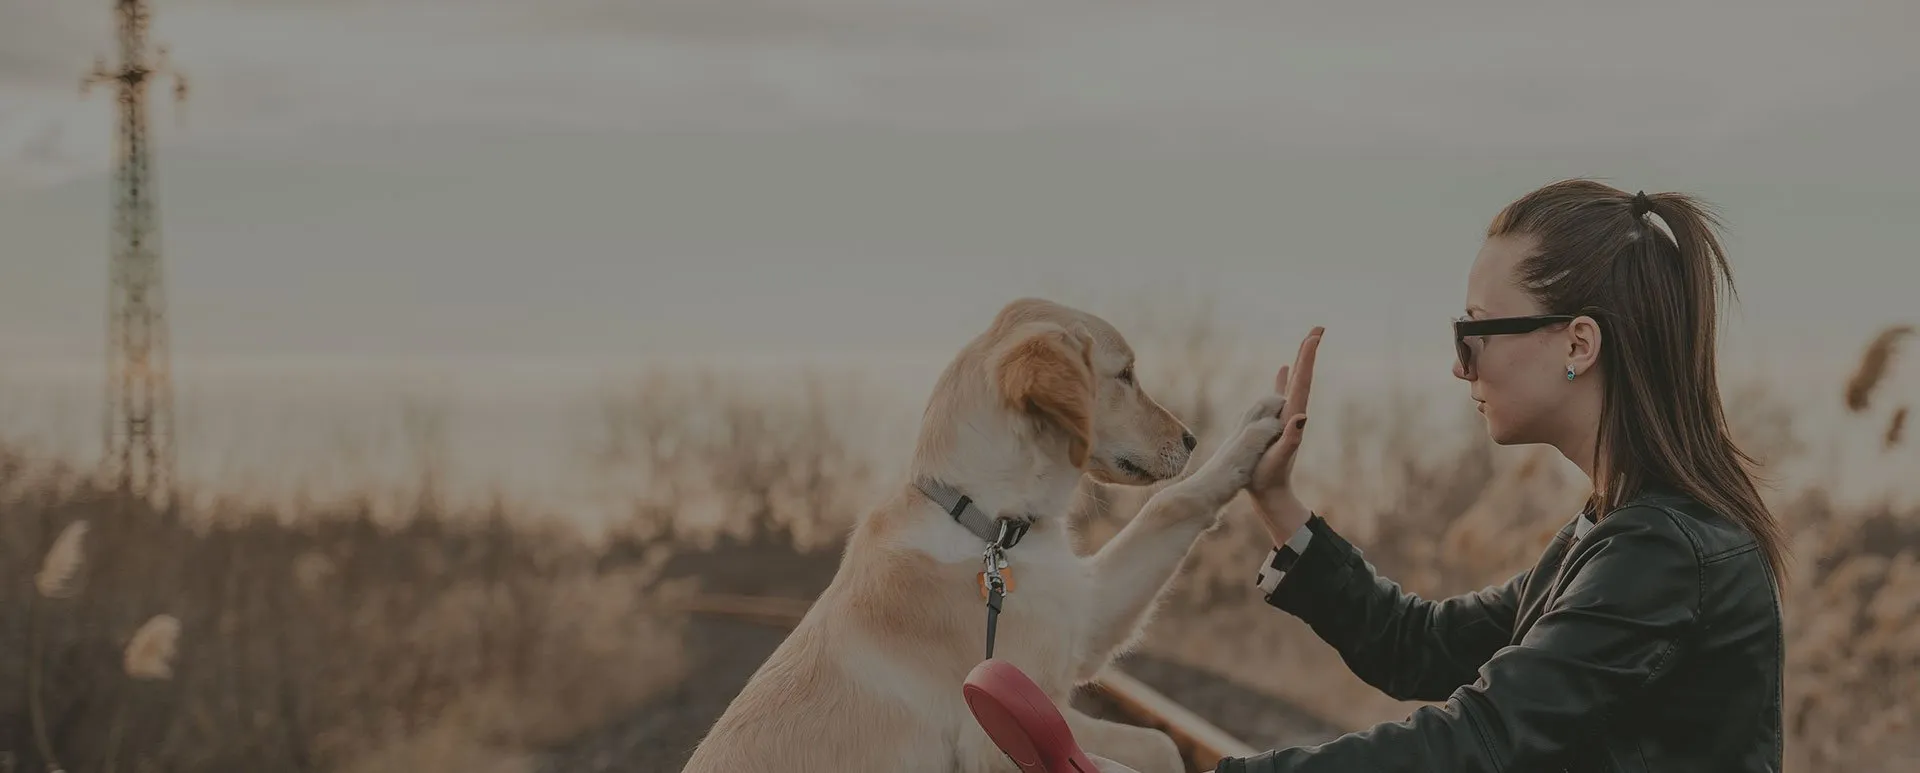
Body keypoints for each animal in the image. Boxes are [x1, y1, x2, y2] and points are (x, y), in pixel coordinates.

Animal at [683, 297, 1282, 773]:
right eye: (1127, 374)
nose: (1191, 438)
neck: (989, 525)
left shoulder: (1081, 619)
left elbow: (1170, 504)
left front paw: (1251, 427)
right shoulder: (1003, 730)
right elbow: (1157, 745)